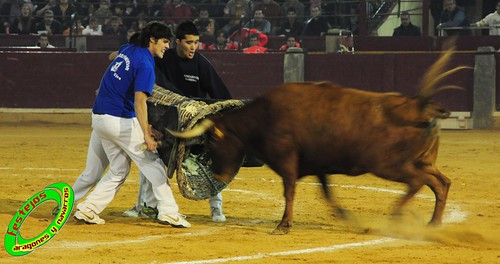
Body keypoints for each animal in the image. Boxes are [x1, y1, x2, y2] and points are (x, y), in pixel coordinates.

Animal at [168, 43, 468, 235]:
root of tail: (420, 105)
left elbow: (289, 191)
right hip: (420, 162)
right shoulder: (318, 166)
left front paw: (283, 226)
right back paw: (432, 224)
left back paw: (397, 216)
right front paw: (349, 219)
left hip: (389, 165)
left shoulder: (287, 162)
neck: (263, 117)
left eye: (213, 142)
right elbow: (327, 194)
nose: (219, 175)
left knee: (418, 182)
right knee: (441, 183)